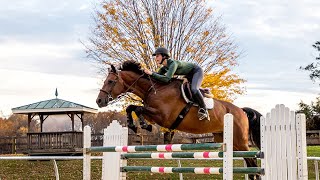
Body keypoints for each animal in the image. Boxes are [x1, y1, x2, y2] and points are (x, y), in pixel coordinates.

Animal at [97, 60, 262, 179]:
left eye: (110, 81)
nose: (99, 101)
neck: (154, 89)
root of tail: (241, 111)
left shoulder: (163, 116)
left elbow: (137, 109)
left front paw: (144, 125)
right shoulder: (154, 114)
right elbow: (130, 107)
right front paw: (133, 125)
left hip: (240, 141)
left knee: (253, 163)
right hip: (227, 140)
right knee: (250, 164)